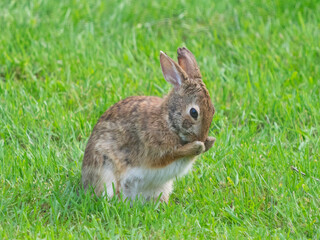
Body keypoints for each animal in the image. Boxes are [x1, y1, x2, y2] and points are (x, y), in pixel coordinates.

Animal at [81, 47, 216, 202]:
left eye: (213, 110)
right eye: (194, 112)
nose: (202, 137)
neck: (168, 120)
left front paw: (209, 142)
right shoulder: (157, 150)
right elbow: (173, 154)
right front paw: (198, 146)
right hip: (106, 173)